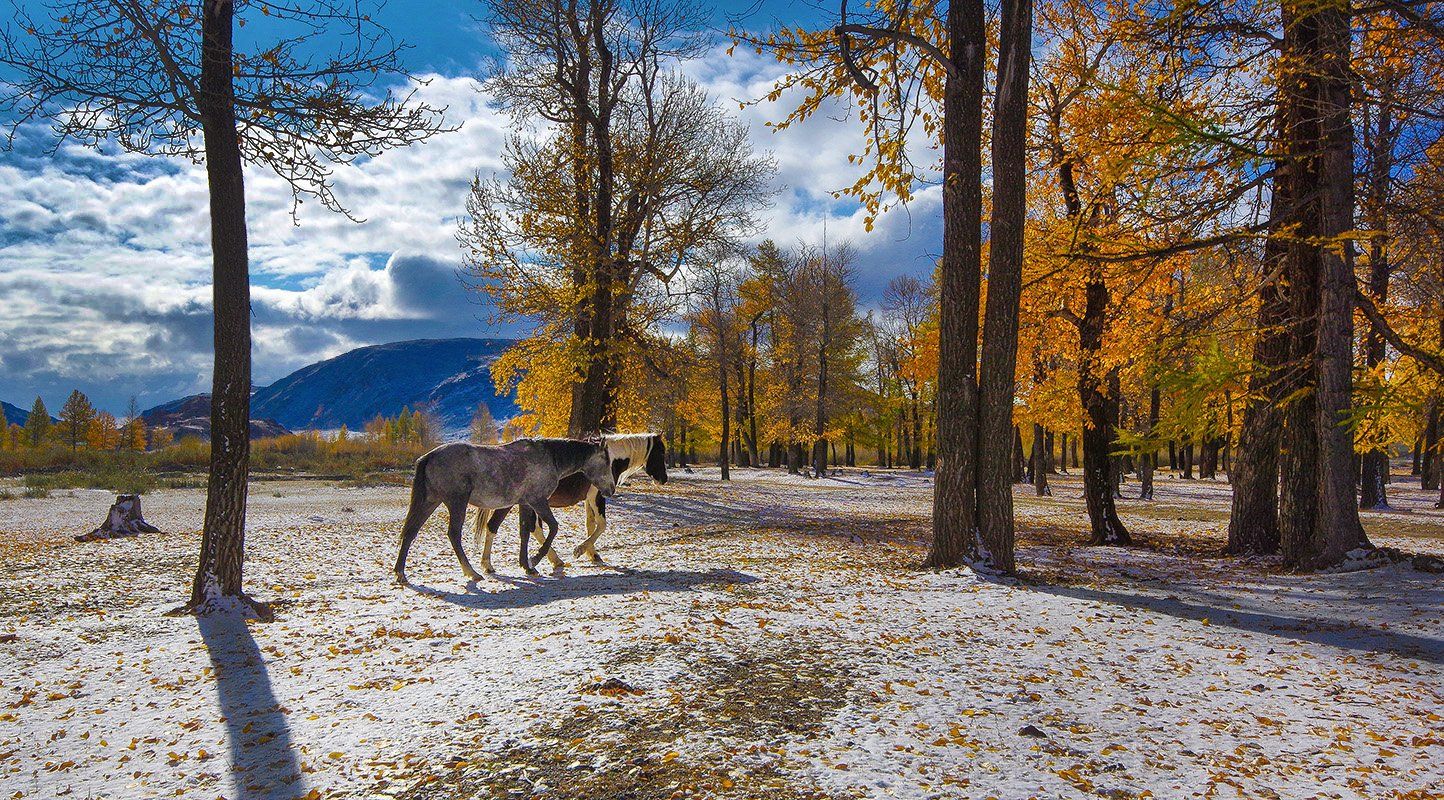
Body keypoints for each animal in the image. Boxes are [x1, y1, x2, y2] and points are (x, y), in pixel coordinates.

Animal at [392, 433, 618, 583]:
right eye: (607, 461)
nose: (611, 489)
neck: (550, 457)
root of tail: (428, 456)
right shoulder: (538, 500)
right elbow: (553, 527)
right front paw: (536, 559)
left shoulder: (525, 503)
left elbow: (525, 532)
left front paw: (527, 565)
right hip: (456, 503)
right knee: (453, 535)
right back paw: (472, 572)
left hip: (430, 501)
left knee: (411, 532)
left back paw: (400, 572)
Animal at [479, 430, 670, 566]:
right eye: (661, 452)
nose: (664, 479)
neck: (610, 459)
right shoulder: (597, 496)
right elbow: (601, 525)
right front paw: (580, 550)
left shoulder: (588, 499)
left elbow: (590, 524)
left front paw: (592, 554)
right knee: (500, 526)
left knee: (518, 528)